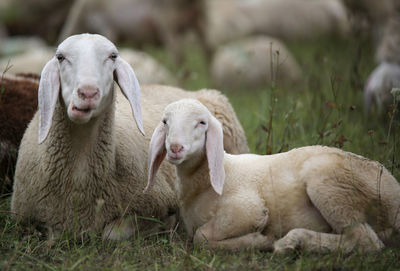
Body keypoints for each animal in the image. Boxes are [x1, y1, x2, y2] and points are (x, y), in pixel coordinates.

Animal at [10, 33, 248, 240]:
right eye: (60, 57)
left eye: (112, 56)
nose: (88, 93)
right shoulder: (24, 219)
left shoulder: (154, 204)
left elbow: (111, 234)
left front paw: (165, 226)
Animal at [146, 99, 400, 254]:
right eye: (165, 122)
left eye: (201, 122)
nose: (175, 148)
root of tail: (394, 192)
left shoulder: (247, 208)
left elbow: (202, 237)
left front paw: (258, 241)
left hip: (331, 184)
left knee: (365, 239)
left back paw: (292, 241)